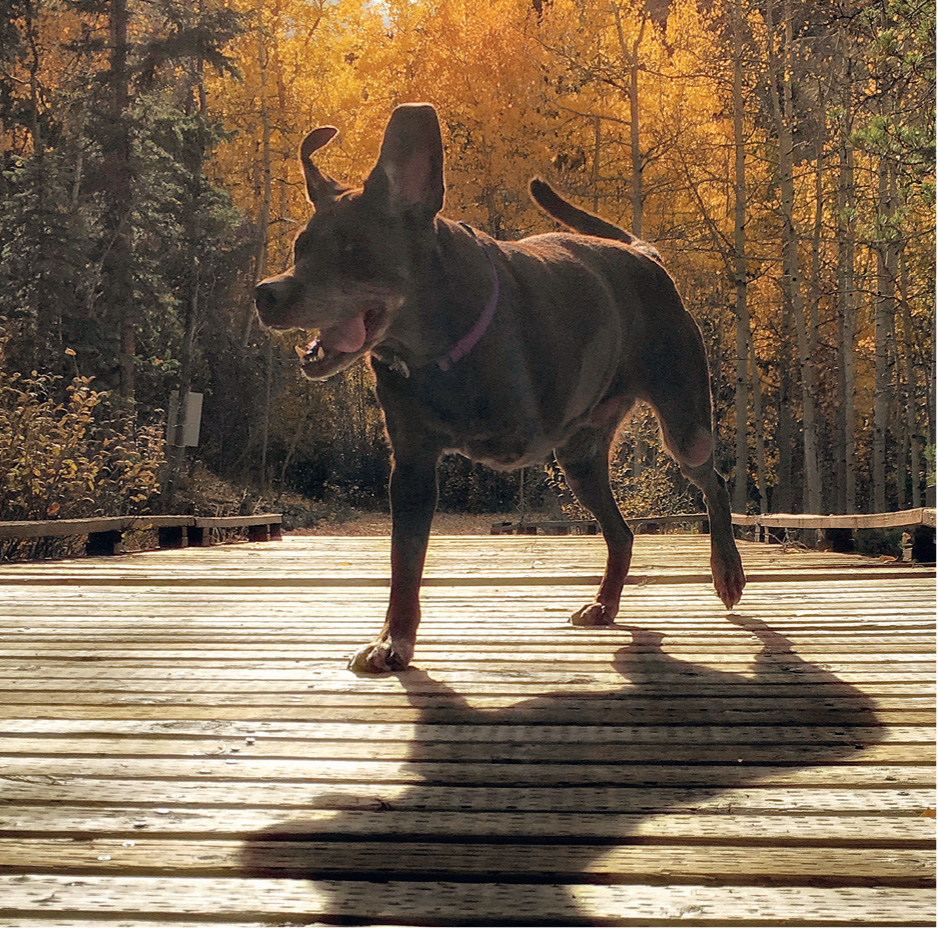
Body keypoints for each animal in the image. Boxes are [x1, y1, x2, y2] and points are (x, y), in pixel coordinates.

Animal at [252, 102, 744, 672]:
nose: (266, 293)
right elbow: (404, 562)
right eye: (300, 247)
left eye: (353, 249)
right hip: (579, 460)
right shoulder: (412, 462)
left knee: (713, 482)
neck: (437, 347)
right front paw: (393, 640)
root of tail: (646, 256)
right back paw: (604, 604)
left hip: (684, 425)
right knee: (621, 532)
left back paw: (727, 570)